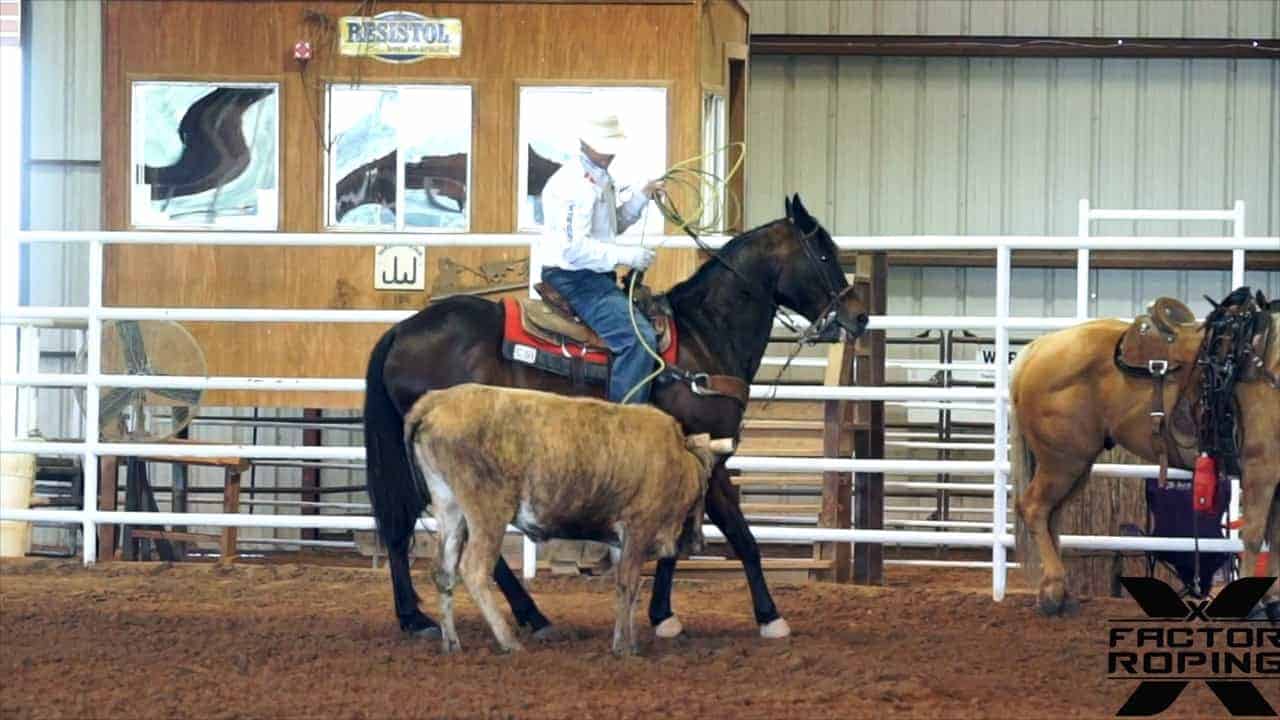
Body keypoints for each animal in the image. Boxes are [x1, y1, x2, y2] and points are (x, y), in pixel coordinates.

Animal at [363, 193, 871, 640]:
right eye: (824, 253)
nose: (860, 316)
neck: (704, 337)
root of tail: (401, 331)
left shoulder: (709, 462)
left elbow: (717, 539)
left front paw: (676, 615)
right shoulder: (702, 459)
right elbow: (722, 538)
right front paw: (755, 617)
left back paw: (486, 616)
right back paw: (460, 617)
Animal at [1012, 288, 1280, 618]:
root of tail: (1038, 347)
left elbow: (1276, 537)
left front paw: (1274, 602)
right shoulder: (1261, 469)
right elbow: (1254, 537)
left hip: (1074, 467)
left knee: (1052, 515)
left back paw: (1061, 595)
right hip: (1061, 463)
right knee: (1034, 509)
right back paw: (1052, 594)